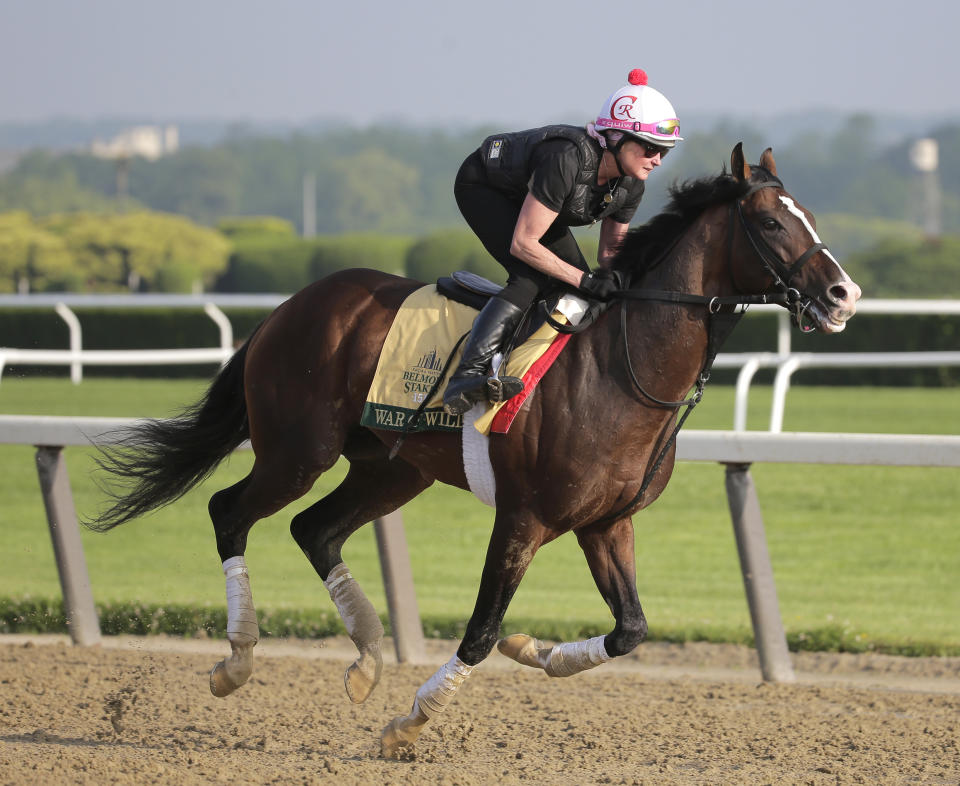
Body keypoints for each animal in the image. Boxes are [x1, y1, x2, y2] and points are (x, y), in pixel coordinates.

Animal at [86, 145, 860, 752]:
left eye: (812, 218)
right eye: (770, 221)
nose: (843, 294)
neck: (622, 367)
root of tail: (289, 306)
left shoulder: (607, 524)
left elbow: (631, 629)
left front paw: (536, 652)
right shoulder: (523, 518)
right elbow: (482, 631)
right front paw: (410, 724)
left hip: (391, 468)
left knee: (315, 529)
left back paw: (367, 658)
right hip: (297, 450)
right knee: (230, 512)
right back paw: (238, 662)